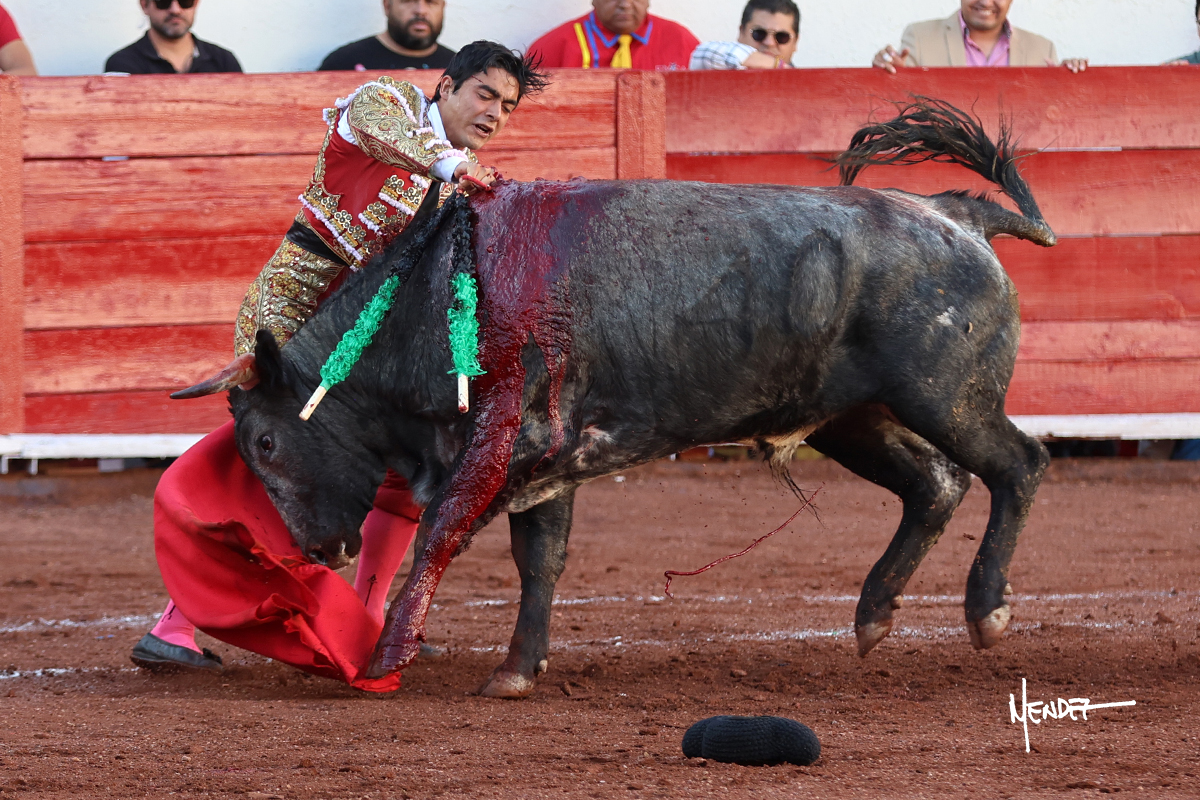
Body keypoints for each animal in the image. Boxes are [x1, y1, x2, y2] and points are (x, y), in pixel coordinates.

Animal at [178, 99, 1055, 698]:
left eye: (265, 444)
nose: (316, 551)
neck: (424, 292)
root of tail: (952, 213)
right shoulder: (546, 459)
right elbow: (540, 559)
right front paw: (516, 669)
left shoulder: (500, 441)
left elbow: (436, 537)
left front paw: (382, 660)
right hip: (853, 419)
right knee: (935, 486)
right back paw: (874, 614)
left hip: (946, 399)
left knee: (1018, 465)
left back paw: (986, 611)